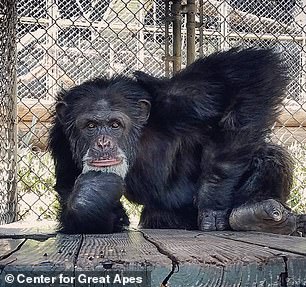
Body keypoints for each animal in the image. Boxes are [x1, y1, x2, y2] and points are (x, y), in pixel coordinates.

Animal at [49, 47, 304, 236]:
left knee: (268, 153)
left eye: (115, 125)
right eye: (90, 126)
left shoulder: (178, 98)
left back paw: (255, 212)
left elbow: (249, 72)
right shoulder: (61, 137)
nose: (103, 143)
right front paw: (93, 192)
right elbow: (68, 188)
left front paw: (212, 200)